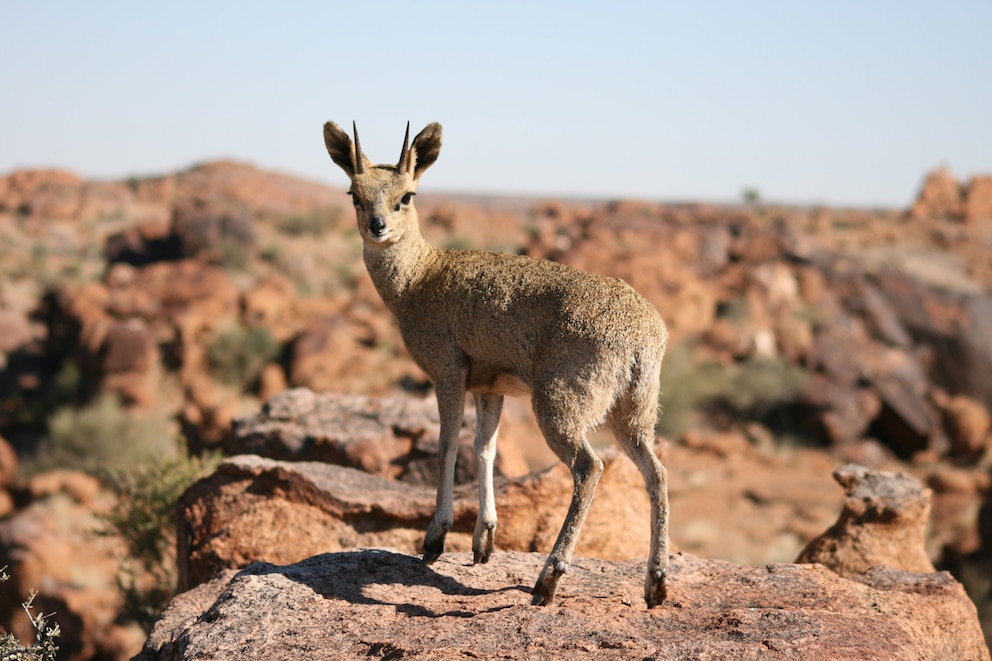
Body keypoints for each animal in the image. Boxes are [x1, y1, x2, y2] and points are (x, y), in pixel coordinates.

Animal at [322, 121, 672, 604]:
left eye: (407, 195)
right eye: (354, 194)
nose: (378, 227)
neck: (419, 279)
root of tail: (644, 336)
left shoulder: (447, 372)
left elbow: (448, 445)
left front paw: (435, 538)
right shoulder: (490, 387)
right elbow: (483, 449)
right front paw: (483, 540)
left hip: (560, 405)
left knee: (589, 468)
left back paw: (548, 579)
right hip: (633, 414)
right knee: (656, 474)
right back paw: (655, 583)